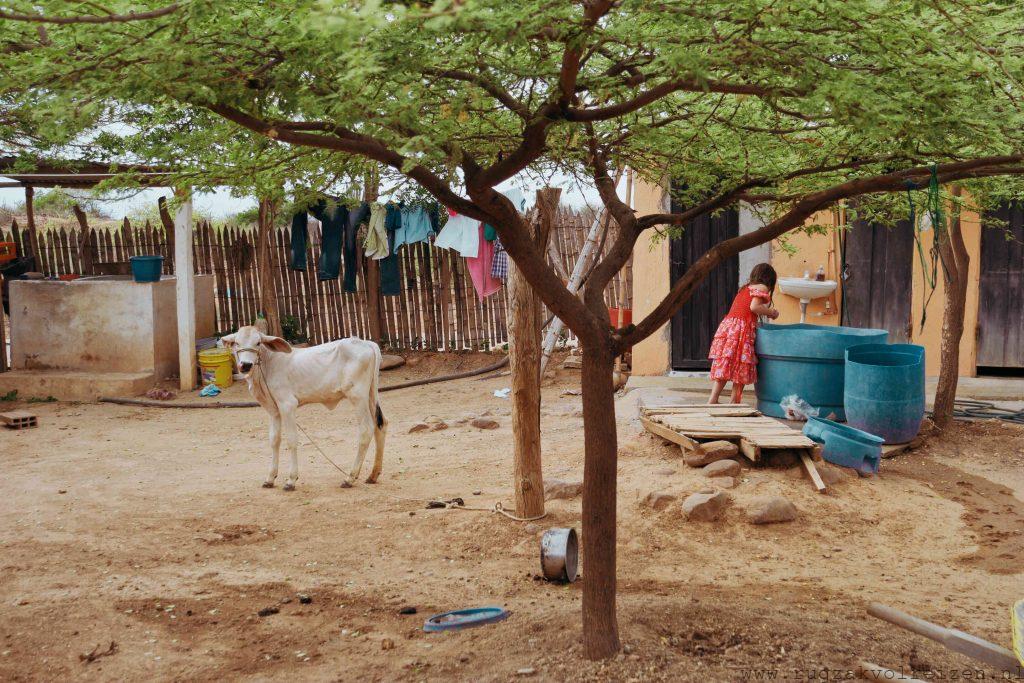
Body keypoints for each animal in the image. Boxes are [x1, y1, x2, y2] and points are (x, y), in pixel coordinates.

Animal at [221, 327, 387, 491]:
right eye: (236, 343)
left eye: (258, 342)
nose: (245, 365)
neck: (268, 365)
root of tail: (366, 343)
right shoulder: (273, 411)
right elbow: (274, 440)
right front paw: (270, 478)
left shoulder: (287, 405)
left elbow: (291, 440)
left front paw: (291, 480)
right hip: (371, 395)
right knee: (381, 425)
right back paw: (373, 475)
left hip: (357, 397)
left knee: (366, 429)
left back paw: (350, 478)